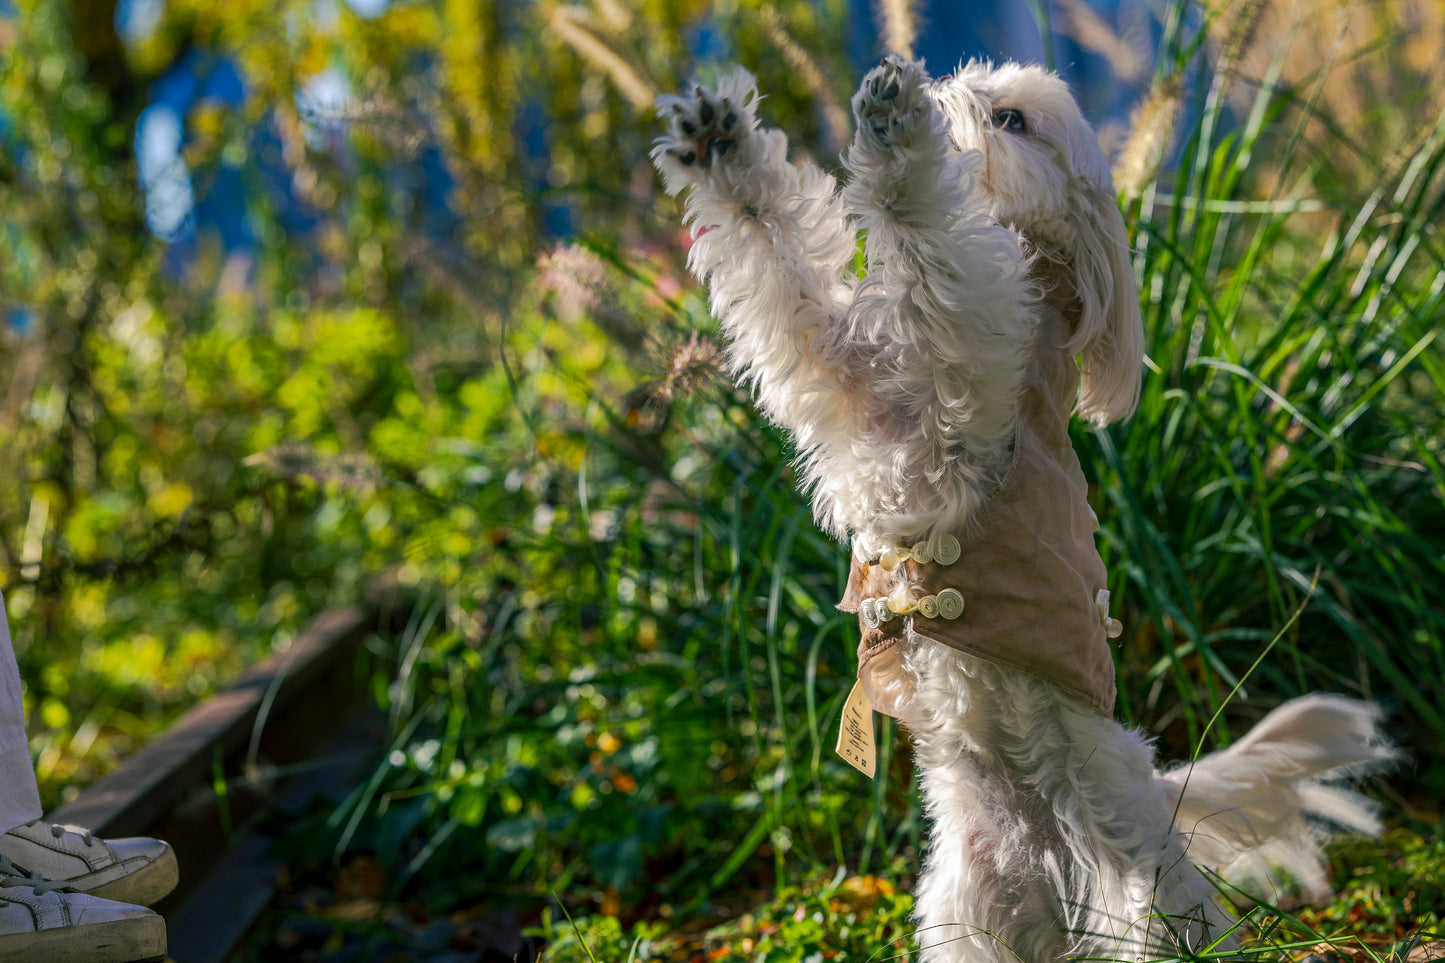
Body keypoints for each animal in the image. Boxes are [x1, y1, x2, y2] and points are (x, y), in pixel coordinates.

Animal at [653, 54, 1387, 960]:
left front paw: (897, 140)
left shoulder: (966, 365)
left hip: (1150, 908)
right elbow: (772, 244)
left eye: (1009, 119)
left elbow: (923, 227)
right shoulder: (843, 378)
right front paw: (719, 143)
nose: (936, 97)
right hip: (966, 917)